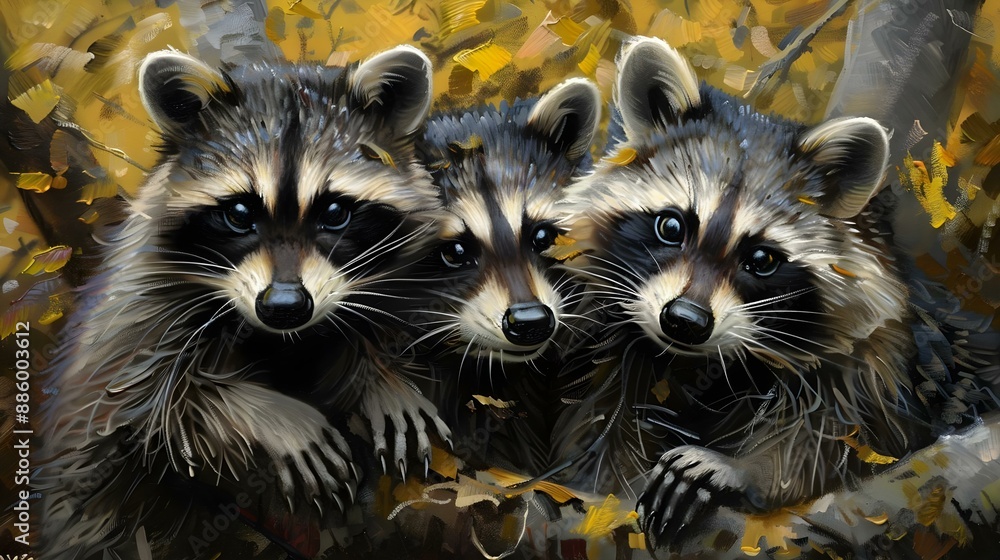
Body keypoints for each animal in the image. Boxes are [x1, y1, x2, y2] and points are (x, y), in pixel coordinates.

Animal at [37, 46, 446, 558]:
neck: (284, 338)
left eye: (335, 212)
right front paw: (272, 415)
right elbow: (142, 406)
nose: (285, 306)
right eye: (238, 213)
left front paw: (380, 375)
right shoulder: (140, 305)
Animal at [562, 37, 992, 549]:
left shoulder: (879, 365)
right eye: (671, 226)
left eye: (762, 259)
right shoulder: (614, 361)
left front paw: (741, 469)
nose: (684, 320)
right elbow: (602, 436)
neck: (698, 364)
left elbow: (839, 442)